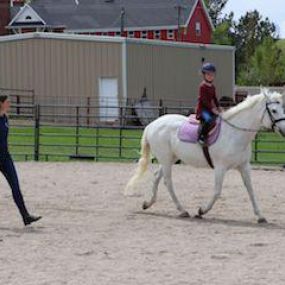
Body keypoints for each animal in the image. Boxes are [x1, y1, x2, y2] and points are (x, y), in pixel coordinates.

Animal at [125, 90, 284, 223]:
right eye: (274, 110)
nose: (284, 130)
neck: (234, 133)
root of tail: (152, 124)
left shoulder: (244, 166)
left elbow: (250, 189)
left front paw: (260, 216)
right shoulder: (220, 167)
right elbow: (217, 192)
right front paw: (201, 211)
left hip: (170, 159)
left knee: (157, 176)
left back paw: (148, 204)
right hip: (166, 159)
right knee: (167, 182)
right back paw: (182, 210)